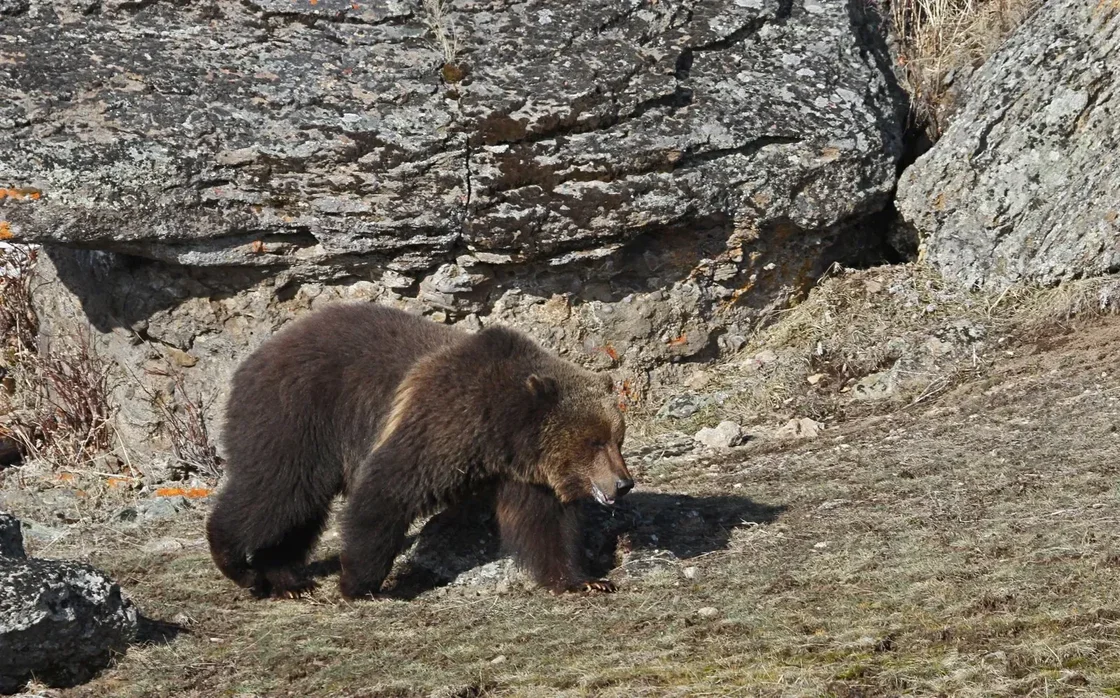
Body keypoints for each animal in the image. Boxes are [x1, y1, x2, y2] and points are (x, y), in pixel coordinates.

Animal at [205, 303, 634, 600]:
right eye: (595, 441)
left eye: (618, 437)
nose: (623, 483)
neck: (501, 432)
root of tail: (257, 355)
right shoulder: (442, 423)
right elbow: (386, 492)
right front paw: (358, 582)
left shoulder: (526, 474)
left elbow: (545, 526)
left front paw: (585, 581)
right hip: (297, 416)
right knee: (277, 491)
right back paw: (236, 563)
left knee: (299, 511)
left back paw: (286, 578)